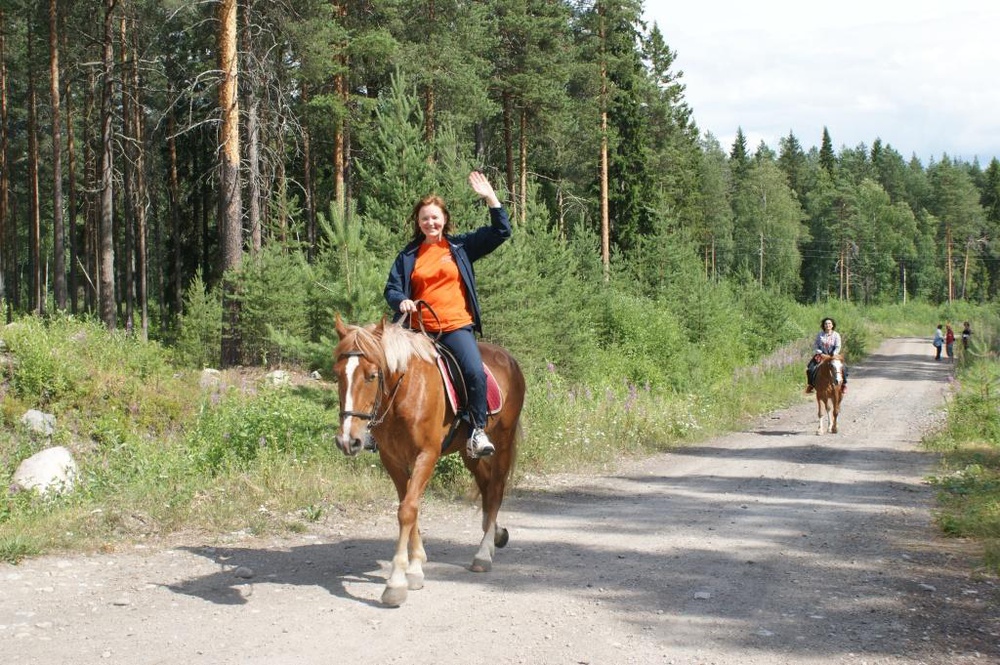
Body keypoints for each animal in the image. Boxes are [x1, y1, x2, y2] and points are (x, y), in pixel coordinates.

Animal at [334, 316, 528, 608]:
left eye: (371, 375)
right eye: (337, 375)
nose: (348, 440)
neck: (406, 392)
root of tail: (509, 359)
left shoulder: (426, 455)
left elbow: (407, 510)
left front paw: (397, 582)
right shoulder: (392, 459)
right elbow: (408, 507)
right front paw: (416, 567)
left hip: (502, 441)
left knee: (495, 489)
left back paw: (483, 553)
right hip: (468, 452)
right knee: (485, 484)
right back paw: (495, 534)